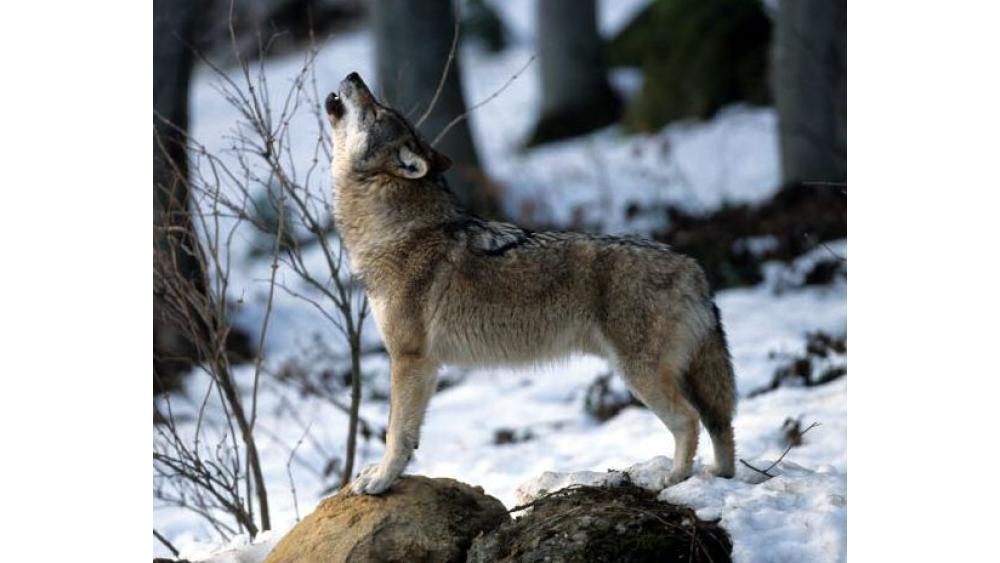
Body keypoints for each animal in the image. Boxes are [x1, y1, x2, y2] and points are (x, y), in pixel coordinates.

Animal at [325, 72, 736, 495]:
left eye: (377, 111)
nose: (354, 76)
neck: (396, 231)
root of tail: (692, 267)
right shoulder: (423, 365)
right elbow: (409, 435)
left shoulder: (409, 360)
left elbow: (396, 433)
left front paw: (380, 479)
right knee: (721, 424)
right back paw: (720, 476)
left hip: (639, 375)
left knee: (689, 420)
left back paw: (673, 479)